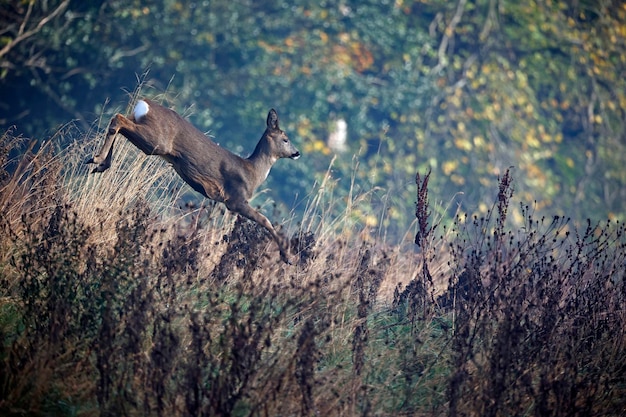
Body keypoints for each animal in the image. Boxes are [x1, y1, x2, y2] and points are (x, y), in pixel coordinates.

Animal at [87, 98, 300, 262]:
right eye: (285, 139)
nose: (297, 153)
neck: (252, 172)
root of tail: (144, 104)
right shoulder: (235, 199)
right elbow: (265, 220)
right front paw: (287, 257)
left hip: (147, 135)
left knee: (120, 121)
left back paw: (100, 162)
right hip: (156, 142)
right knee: (118, 118)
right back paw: (98, 159)